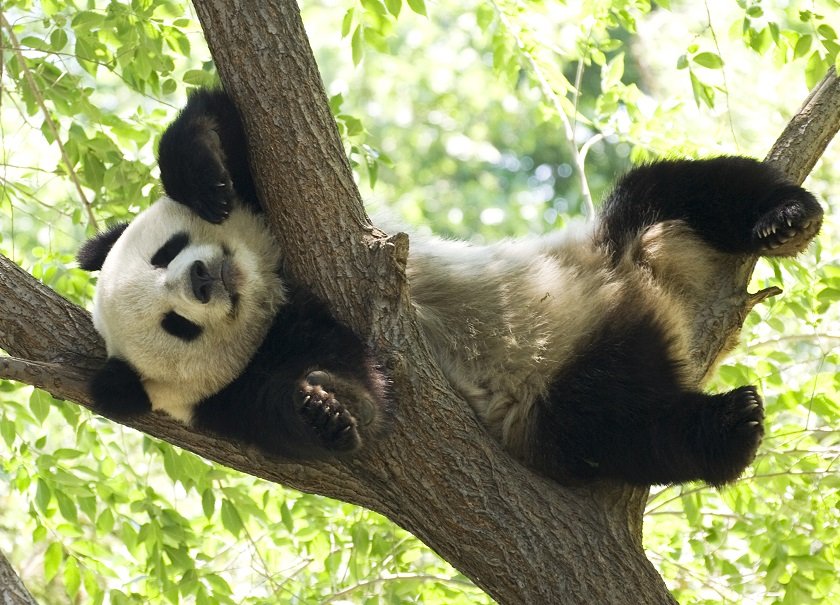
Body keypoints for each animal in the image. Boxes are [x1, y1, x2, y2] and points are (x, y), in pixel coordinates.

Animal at [78, 88, 823, 486]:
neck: (273, 294)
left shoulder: (288, 217)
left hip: (609, 246)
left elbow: (245, 140)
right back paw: (727, 427)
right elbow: (358, 398)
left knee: (676, 189)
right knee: (619, 428)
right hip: (555, 404)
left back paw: (785, 220)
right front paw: (324, 409)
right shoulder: (237, 391)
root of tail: (653, 313)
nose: (203, 275)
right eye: (176, 324)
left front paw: (201, 173)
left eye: (167, 252)